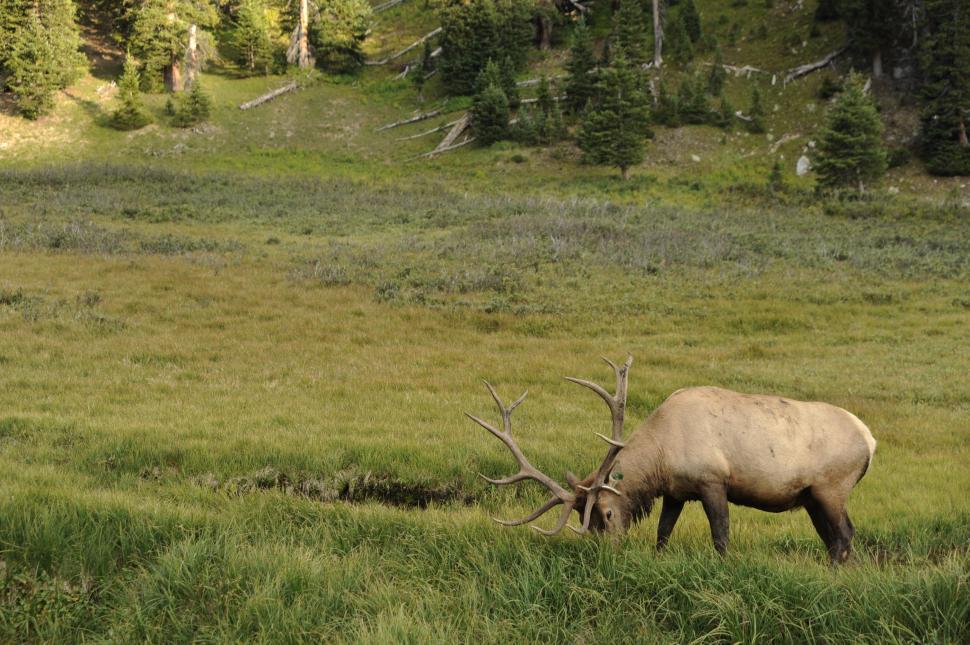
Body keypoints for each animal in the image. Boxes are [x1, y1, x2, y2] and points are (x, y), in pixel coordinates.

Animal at [465, 356, 877, 563]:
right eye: (590, 520)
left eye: (607, 514)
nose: (606, 554)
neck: (662, 455)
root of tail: (870, 441)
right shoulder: (677, 492)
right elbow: (662, 534)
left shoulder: (713, 480)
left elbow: (721, 537)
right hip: (812, 497)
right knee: (833, 539)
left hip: (832, 488)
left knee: (844, 535)